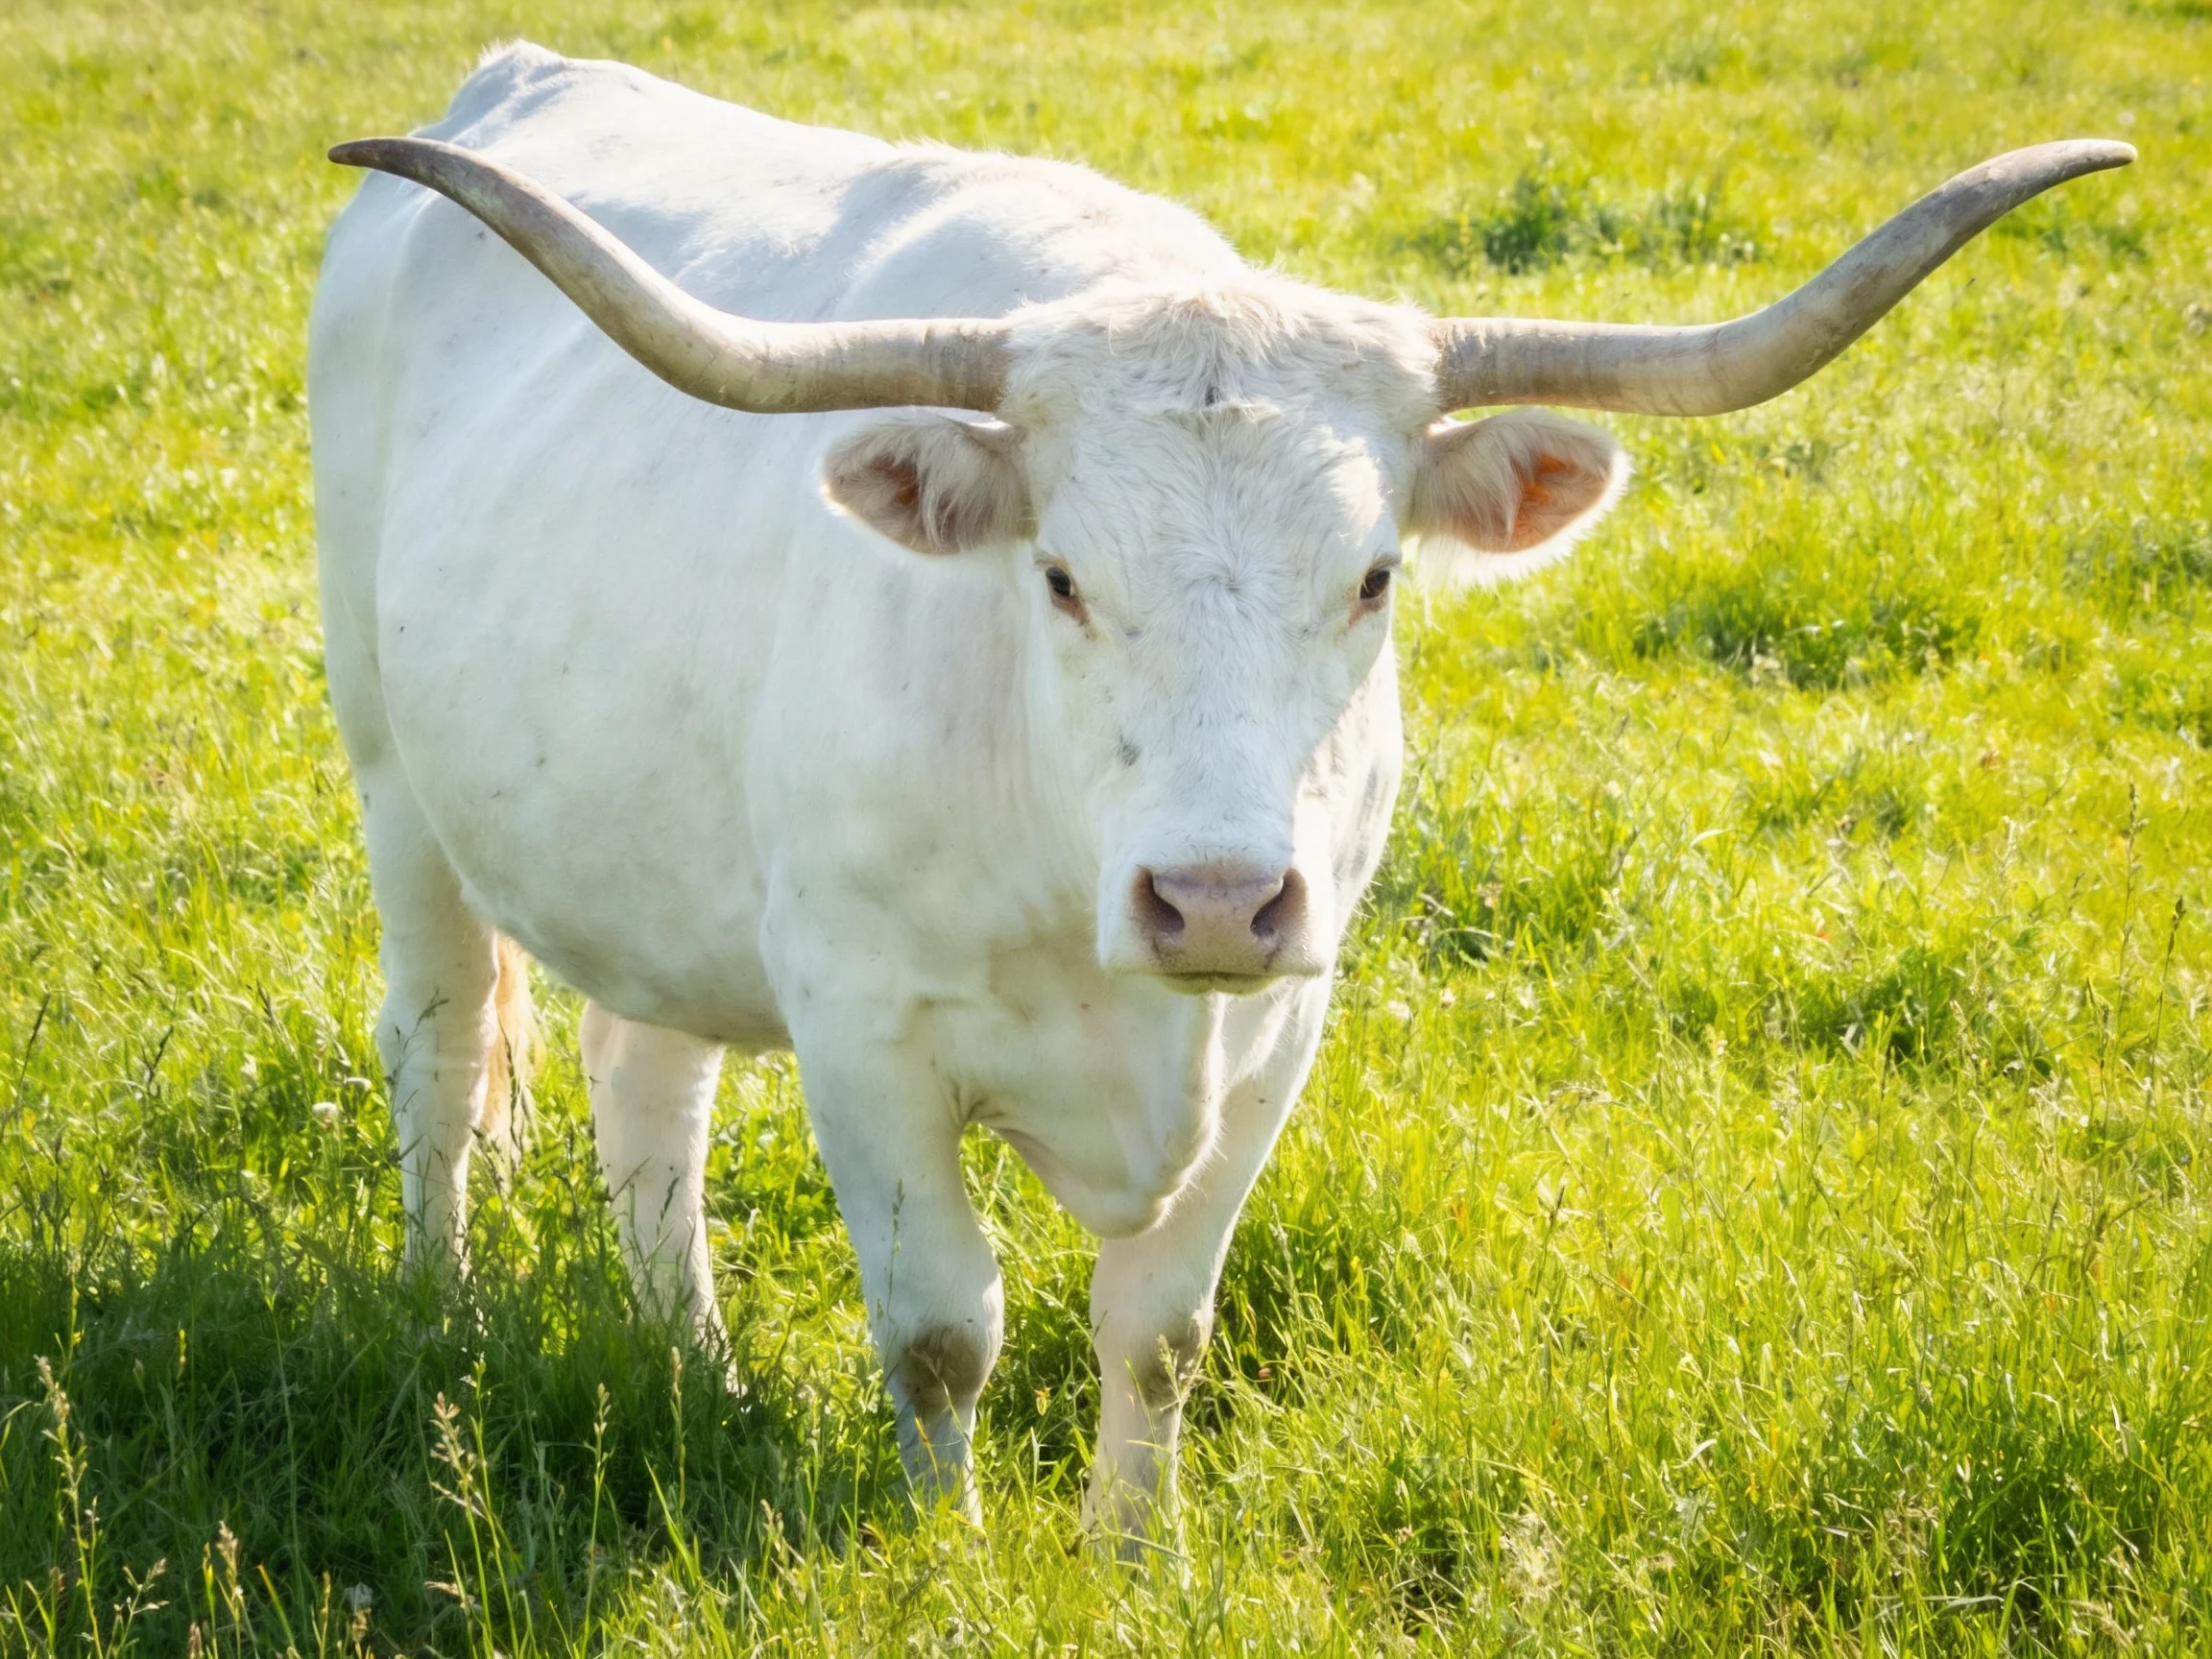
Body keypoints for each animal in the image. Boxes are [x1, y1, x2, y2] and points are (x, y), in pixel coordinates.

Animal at [311, 41, 2128, 1546]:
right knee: (442, 1048)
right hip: (392, 780)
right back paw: (440, 1312)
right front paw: (949, 1557)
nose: (1208, 900)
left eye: (1375, 575)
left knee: (645, 1084)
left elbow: (1159, 1331)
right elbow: (941, 1330)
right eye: (1056, 575)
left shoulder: (1279, 1028)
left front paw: (1136, 1558)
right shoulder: (863, 1026)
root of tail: (523, 72)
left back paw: (696, 1362)